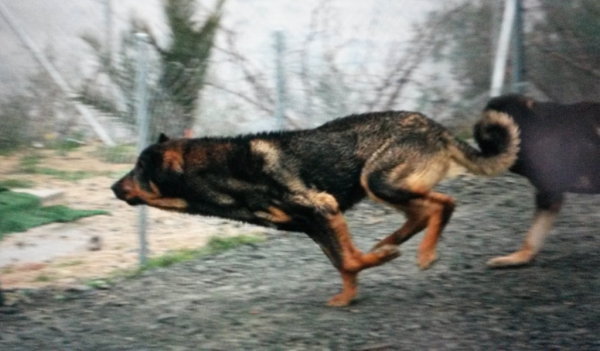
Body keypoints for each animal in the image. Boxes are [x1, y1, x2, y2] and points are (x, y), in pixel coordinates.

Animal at [112, 110, 520, 306]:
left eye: (138, 170)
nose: (113, 187)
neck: (221, 171)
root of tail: (435, 126)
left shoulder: (323, 208)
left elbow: (349, 259)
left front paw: (378, 264)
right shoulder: (314, 224)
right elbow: (346, 263)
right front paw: (349, 296)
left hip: (379, 181)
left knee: (443, 204)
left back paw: (421, 252)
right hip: (385, 188)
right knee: (422, 212)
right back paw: (392, 242)